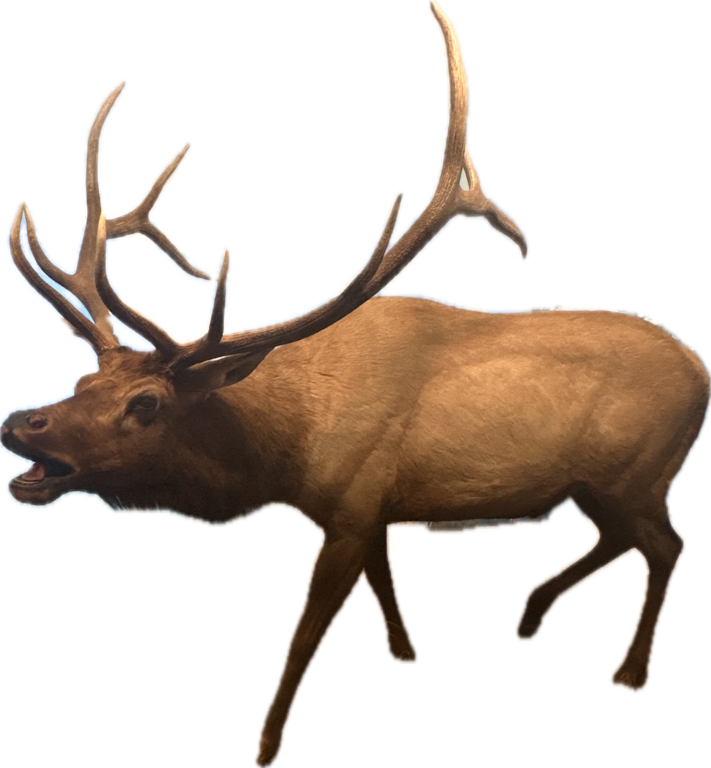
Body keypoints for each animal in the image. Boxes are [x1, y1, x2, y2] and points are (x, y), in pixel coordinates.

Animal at [1, 2, 709, 765]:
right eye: (83, 377)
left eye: (147, 403)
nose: (19, 422)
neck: (282, 450)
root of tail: (702, 372)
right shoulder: (371, 508)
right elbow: (385, 583)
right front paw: (404, 652)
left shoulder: (349, 505)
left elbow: (303, 636)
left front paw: (265, 746)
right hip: (596, 483)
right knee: (622, 539)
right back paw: (529, 613)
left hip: (636, 473)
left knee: (666, 544)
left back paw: (628, 669)